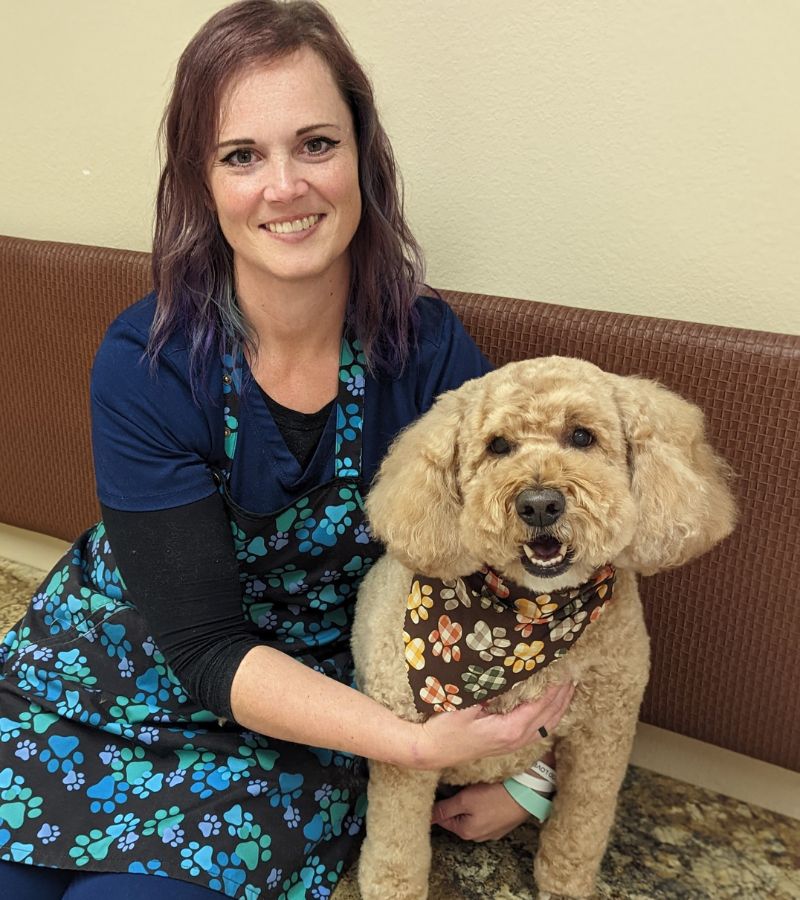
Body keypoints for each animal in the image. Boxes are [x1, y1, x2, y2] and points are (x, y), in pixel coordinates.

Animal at [354, 356, 740, 896]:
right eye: (498, 446)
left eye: (581, 436)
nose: (539, 503)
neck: (528, 619)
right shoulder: (405, 750)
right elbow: (396, 847)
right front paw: (392, 888)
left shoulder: (603, 736)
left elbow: (580, 827)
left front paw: (564, 883)